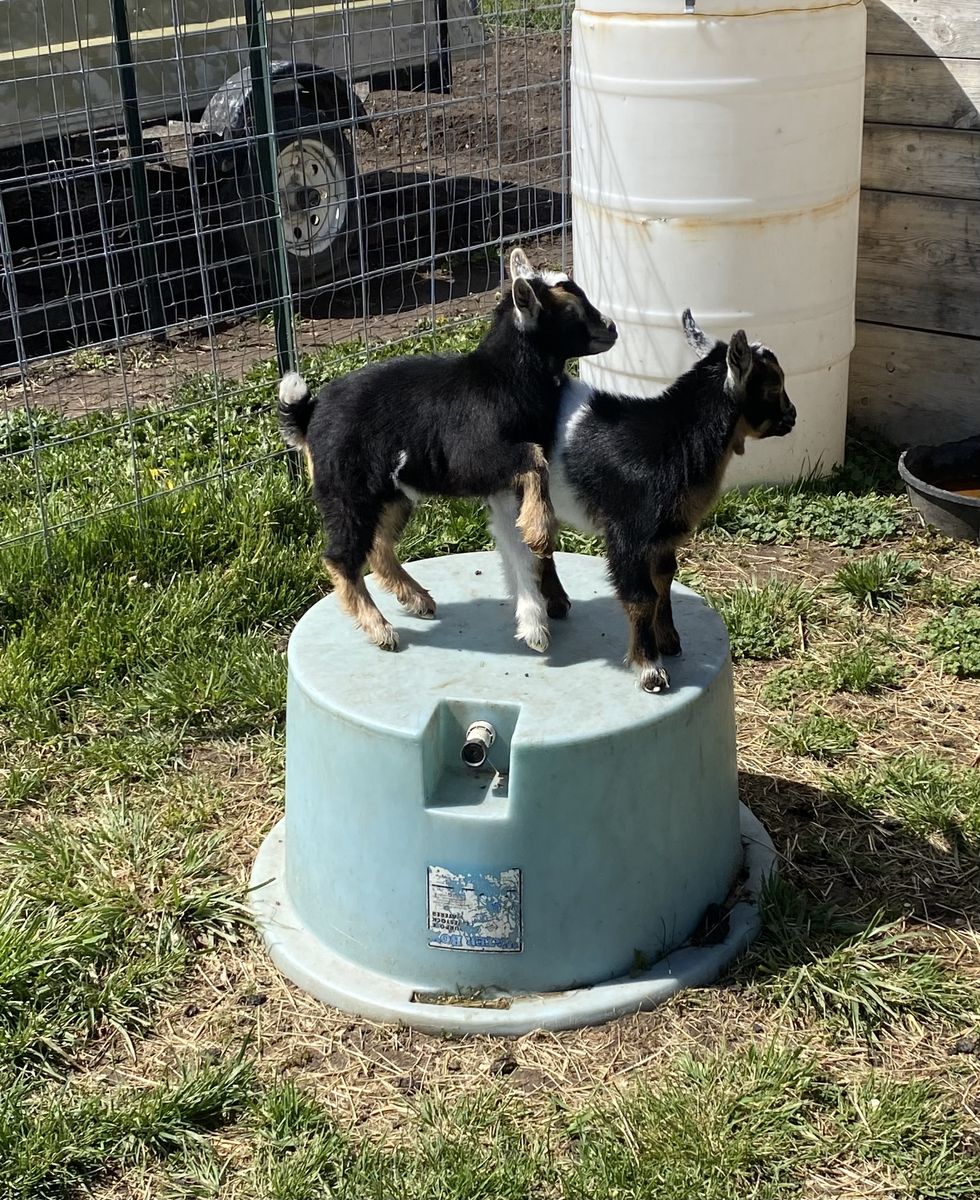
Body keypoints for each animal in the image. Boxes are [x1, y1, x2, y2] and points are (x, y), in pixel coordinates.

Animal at [278, 248, 617, 651]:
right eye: (572, 310)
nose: (613, 327)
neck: (504, 379)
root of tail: (309, 415)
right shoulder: (476, 457)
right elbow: (533, 458)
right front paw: (540, 533)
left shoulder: (505, 478)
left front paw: (548, 587)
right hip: (346, 491)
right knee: (341, 557)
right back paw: (380, 628)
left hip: (391, 493)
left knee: (378, 547)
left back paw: (416, 598)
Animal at [492, 310, 796, 692]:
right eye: (773, 385)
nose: (792, 416)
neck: (676, 437)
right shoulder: (628, 533)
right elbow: (641, 598)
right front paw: (651, 669)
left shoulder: (665, 535)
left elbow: (663, 582)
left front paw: (669, 640)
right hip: (509, 491)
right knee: (517, 548)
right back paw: (535, 623)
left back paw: (557, 602)